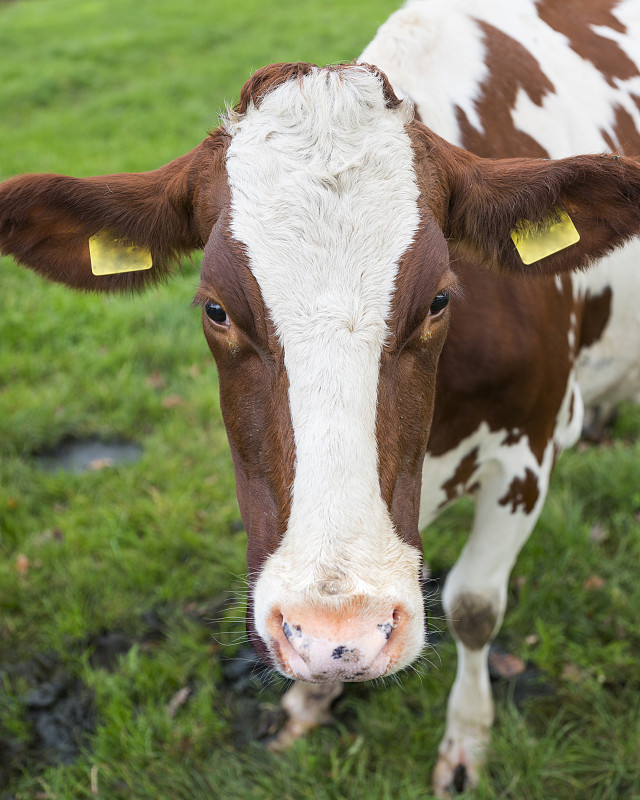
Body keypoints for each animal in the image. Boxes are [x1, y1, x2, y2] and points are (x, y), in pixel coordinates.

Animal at [1, 1, 640, 792]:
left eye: (439, 299)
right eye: (216, 310)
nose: (340, 632)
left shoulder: (531, 447)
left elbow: (473, 607)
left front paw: (466, 741)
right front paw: (311, 699)